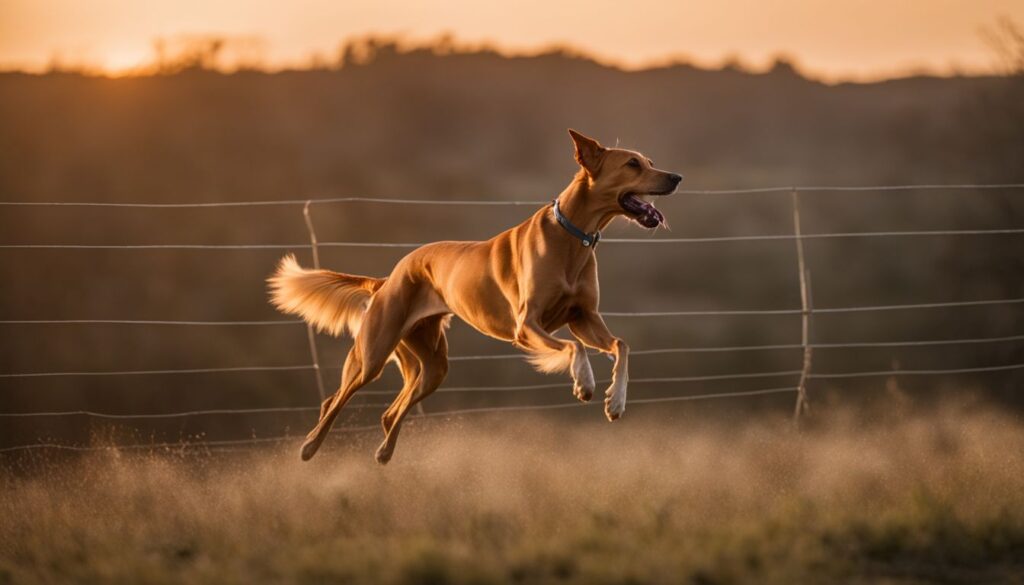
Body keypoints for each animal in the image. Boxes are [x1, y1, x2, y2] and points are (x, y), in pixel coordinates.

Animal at [268, 130, 684, 465]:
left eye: (649, 162)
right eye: (632, 164)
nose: (677, 177)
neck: (572, 236)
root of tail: (387, 279)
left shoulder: (584, 318)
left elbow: (621, 344)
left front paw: (615, 401)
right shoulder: (526, 326)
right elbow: (573, 348)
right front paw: (584, 383)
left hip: (433, 365)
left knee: (390, 412)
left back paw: (385, 453)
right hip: (373, 353)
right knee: (334, 400)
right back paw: (309, 447)